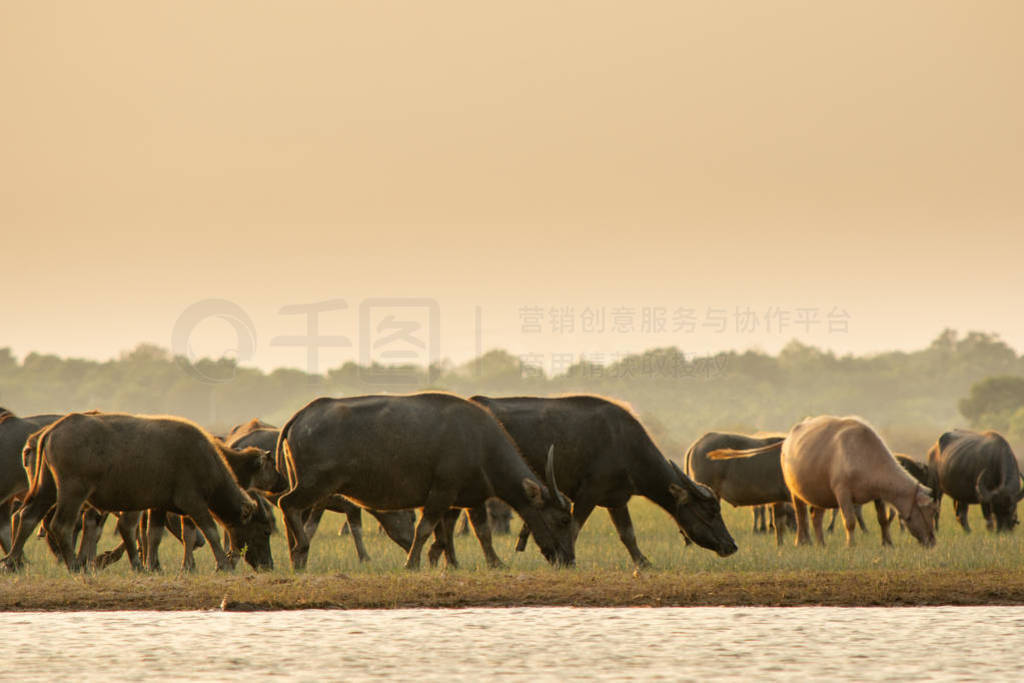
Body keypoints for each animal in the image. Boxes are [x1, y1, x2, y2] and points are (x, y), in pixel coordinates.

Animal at [2, 413, 274, 573]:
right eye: (265, 530)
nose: (269, 565)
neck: (205, 459)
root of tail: (51, 431)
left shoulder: (159, 505)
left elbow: (153, 535)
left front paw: (151, 566)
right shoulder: (193, 502)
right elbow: (211, 531)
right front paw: (224, 564)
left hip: (46, 487)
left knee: (26, 517)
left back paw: (13, 562)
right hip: (72, 491)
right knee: (61, 525)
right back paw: (75, 566)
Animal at [274, 393, 577, 569]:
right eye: (563, 520)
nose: (569, 560)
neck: (481, 443)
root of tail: (300, 415)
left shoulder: (469, 498)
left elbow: (475, 532)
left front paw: (485, 563)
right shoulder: (441, 492)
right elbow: (426, 529)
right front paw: (413, 563)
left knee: (291, 511)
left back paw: (295, 556)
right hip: (315, 484)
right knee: (287, 504)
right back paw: (300, 549)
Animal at [468, 395, 741, 565]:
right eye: (710, 511)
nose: (731, 545)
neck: (625, 444)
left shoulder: (616, 498)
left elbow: (627, 534)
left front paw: (643, 563)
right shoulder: (588, 493)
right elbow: (574, 527)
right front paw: (567, 558)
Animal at [774, 413, 937, 548]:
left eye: (933, 512)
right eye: (928, 512)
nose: (932, 542)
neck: (865, 457)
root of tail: (788, 440)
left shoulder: (878, 495)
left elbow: (882, 519)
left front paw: (887, 543)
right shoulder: (842, 493)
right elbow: (850, 521)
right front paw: (850, 544)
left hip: (819, 493)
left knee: (816, 516)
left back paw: (821, 543)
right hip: (794, 492)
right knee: (801, 516)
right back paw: (801, 542)